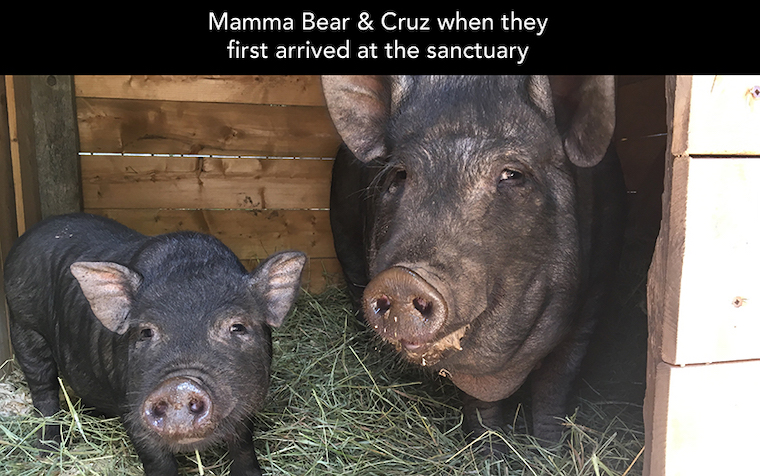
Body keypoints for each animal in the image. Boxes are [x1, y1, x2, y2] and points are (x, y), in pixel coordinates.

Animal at [3, 213, 306, 476]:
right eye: (146, 332)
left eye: (237, 327)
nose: (178, 387)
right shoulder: (130, 405)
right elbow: (156, 459)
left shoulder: (249, 403)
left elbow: (242, 445)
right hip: (24, 327)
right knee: (43, 389)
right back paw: (47, 451)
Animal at [322, 76, 626, 444]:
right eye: (401, 175)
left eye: (512, 174)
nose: (402, 280)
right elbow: (479, 401)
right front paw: (488, 450)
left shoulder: (594, 298)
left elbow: (555, 385)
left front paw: (551, 447)